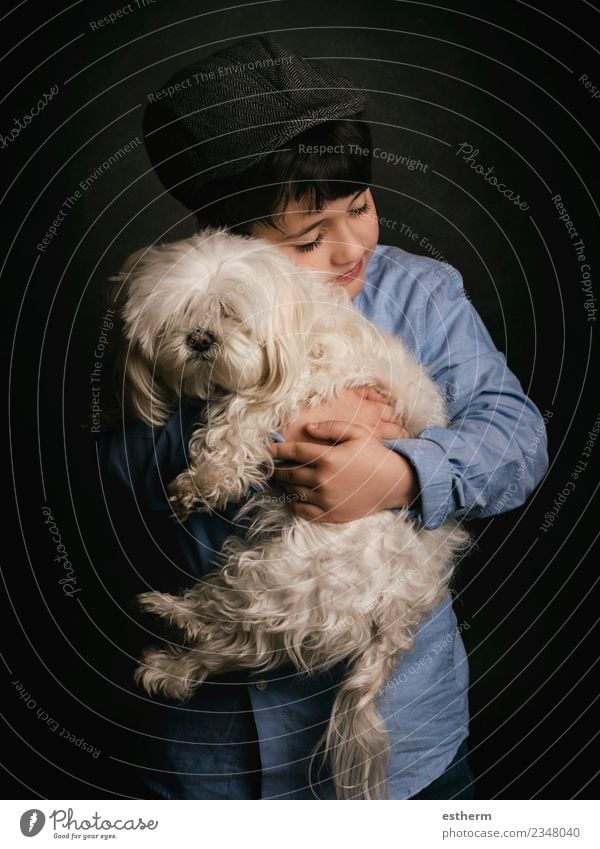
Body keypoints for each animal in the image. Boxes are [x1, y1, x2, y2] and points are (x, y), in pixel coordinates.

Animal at [110, 227, 472, 800]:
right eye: (178, 318)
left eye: (229, 314)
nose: (200, 340)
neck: (299, 318)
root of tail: (401, 608)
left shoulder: (305, 382)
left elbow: (238, 418)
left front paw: (204, 481)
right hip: (285, 581)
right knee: (239, 644)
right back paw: (168, 666)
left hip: (293, 571)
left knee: (229, 625)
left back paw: (170, 613)